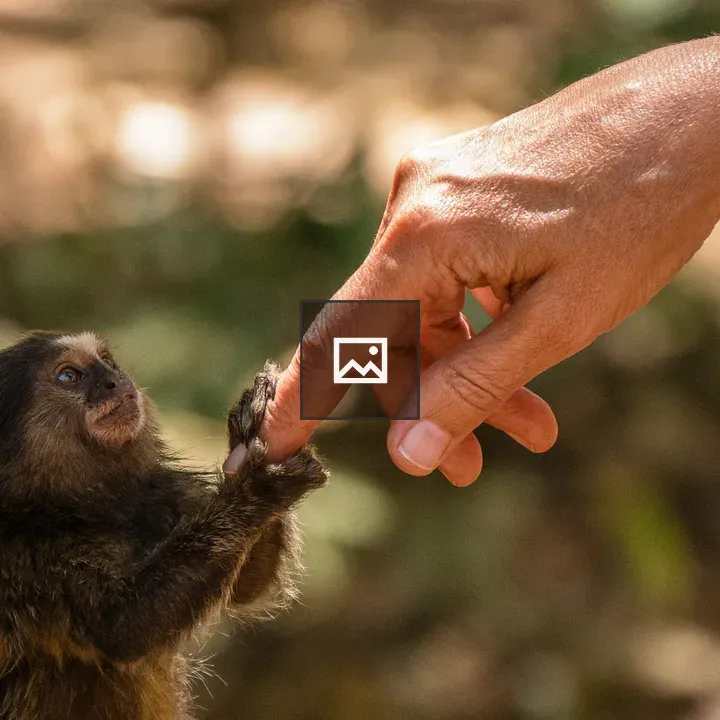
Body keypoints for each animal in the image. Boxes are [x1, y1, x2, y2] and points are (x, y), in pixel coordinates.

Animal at [0, 331, 328, 720]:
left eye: (106, 362)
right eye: (69, 376)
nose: (115, 380)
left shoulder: (163, 494)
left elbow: (248, 584)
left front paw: (249, 426)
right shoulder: (24, 558)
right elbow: (125, 627)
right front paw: (261, 485)